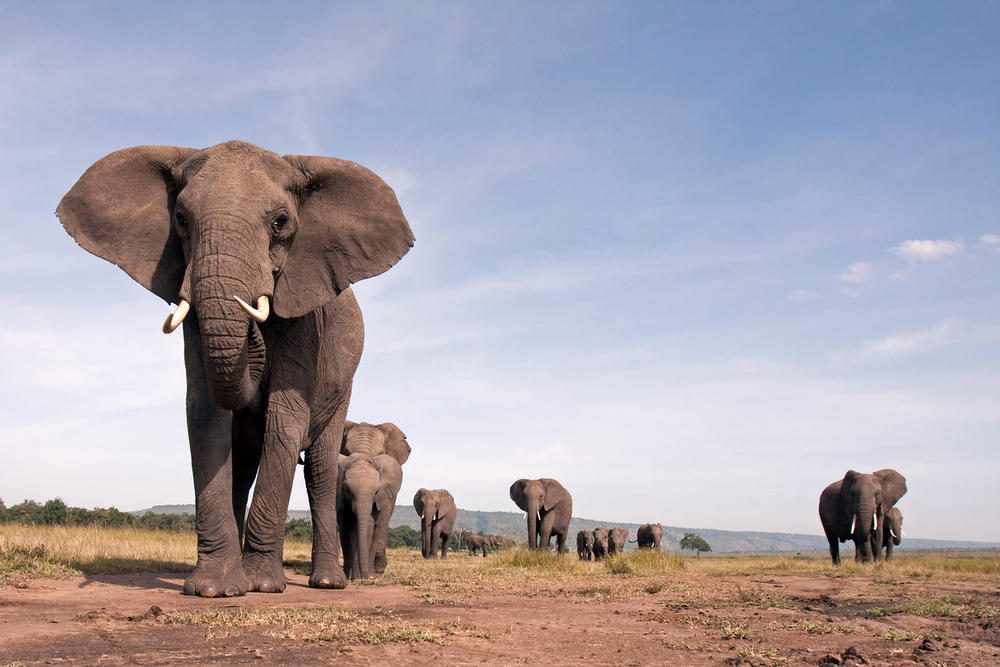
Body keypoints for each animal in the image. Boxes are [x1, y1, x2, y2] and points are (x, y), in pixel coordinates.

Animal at [55, 138, 414, 596]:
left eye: (281, 222)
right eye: (181, 219)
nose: (252, 329)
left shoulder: (306, 320)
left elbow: (284, 420)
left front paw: (261, 585)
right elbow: (205, 413)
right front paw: (215, 588)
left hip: (343, 387)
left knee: (319, 468)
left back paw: (327, 583)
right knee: (243, 465)